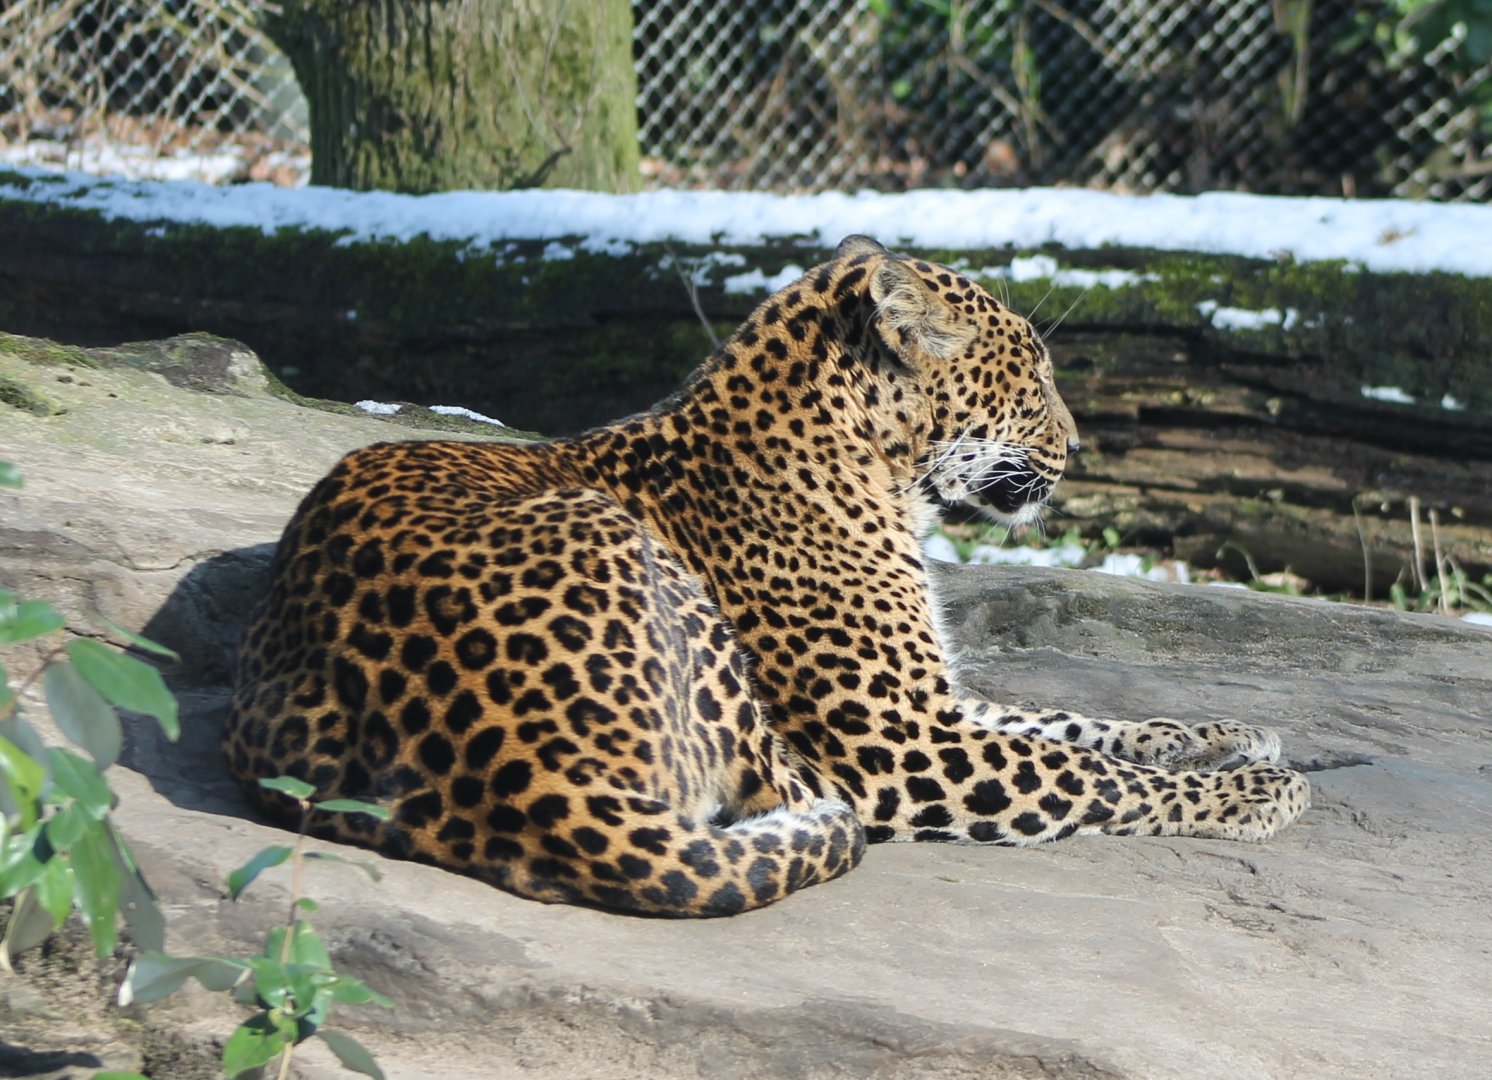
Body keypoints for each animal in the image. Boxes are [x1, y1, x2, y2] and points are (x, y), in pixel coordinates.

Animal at [225, 234, 1309, 917]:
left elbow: (1084, 725)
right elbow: (1089, 773)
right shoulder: (897, 744)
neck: (876, 468)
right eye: (1034, 379)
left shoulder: (933, 702)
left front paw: (1222, 735)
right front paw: (1258, 792)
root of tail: (526, 772)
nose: (1081, 447)